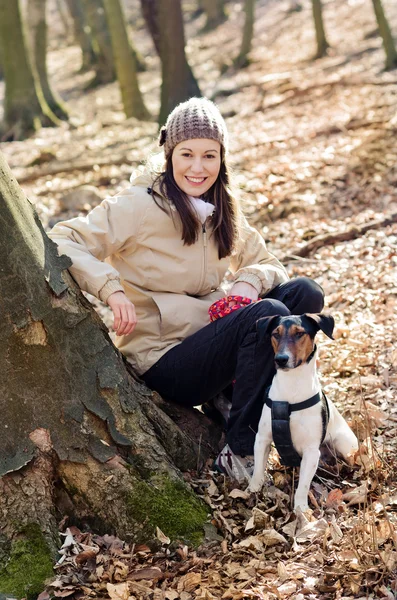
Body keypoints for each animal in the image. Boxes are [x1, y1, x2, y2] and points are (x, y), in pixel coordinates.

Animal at [249, 314, 358, 510]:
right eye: (276, 334)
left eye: (299, 333)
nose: (281, 359)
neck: (292, 387)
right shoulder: (262, 439)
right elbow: (258, 471)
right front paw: (252, 490)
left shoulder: (311, 452)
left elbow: (303, 486)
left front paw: (301, 510)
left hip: (345, 445)